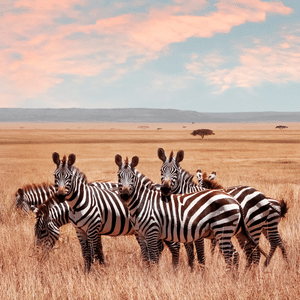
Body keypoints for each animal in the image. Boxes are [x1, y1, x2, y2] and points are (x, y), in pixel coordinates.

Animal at [115, 154, 268, 270]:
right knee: (242, 254)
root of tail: (236, 202)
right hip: (234, 232)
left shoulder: (159, 232)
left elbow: (159, 257)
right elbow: (149, 258)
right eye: (119, 176)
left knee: (248, 254)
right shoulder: (149, 234)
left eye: (132, 178)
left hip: (240, 228)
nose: (124, 196)